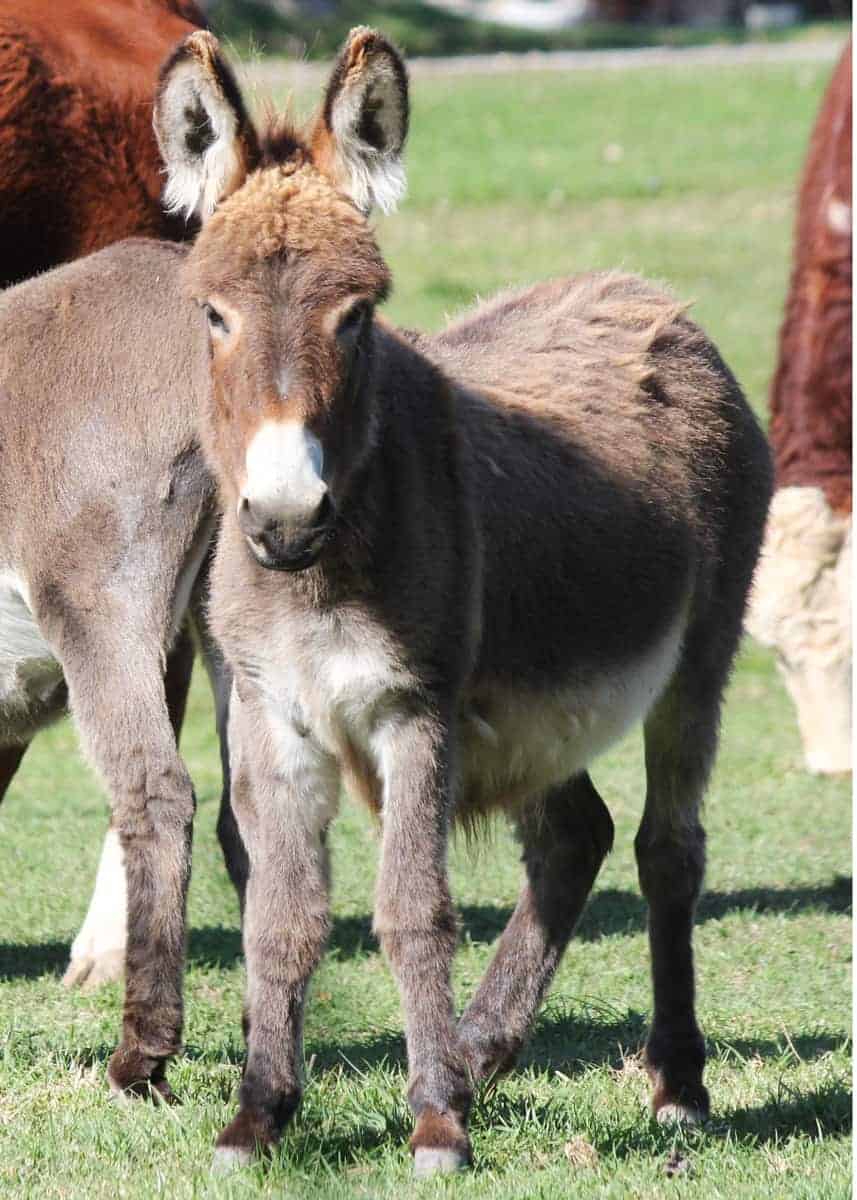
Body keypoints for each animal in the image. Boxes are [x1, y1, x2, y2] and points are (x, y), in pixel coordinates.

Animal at [154, 25, 772, 1171]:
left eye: (357, 318)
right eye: (212, 315)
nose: (284, 518)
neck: (323, 575)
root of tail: (642, 292)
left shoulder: (417, 709)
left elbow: (413, 911)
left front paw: (435, 1120)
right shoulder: (271, 710)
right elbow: (280, 917)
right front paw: (260, 1113)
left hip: (697, 658)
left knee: (667, 850)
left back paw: (671, 1082)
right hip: (532, 717)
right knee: (574, 837)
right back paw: (482, 1049)